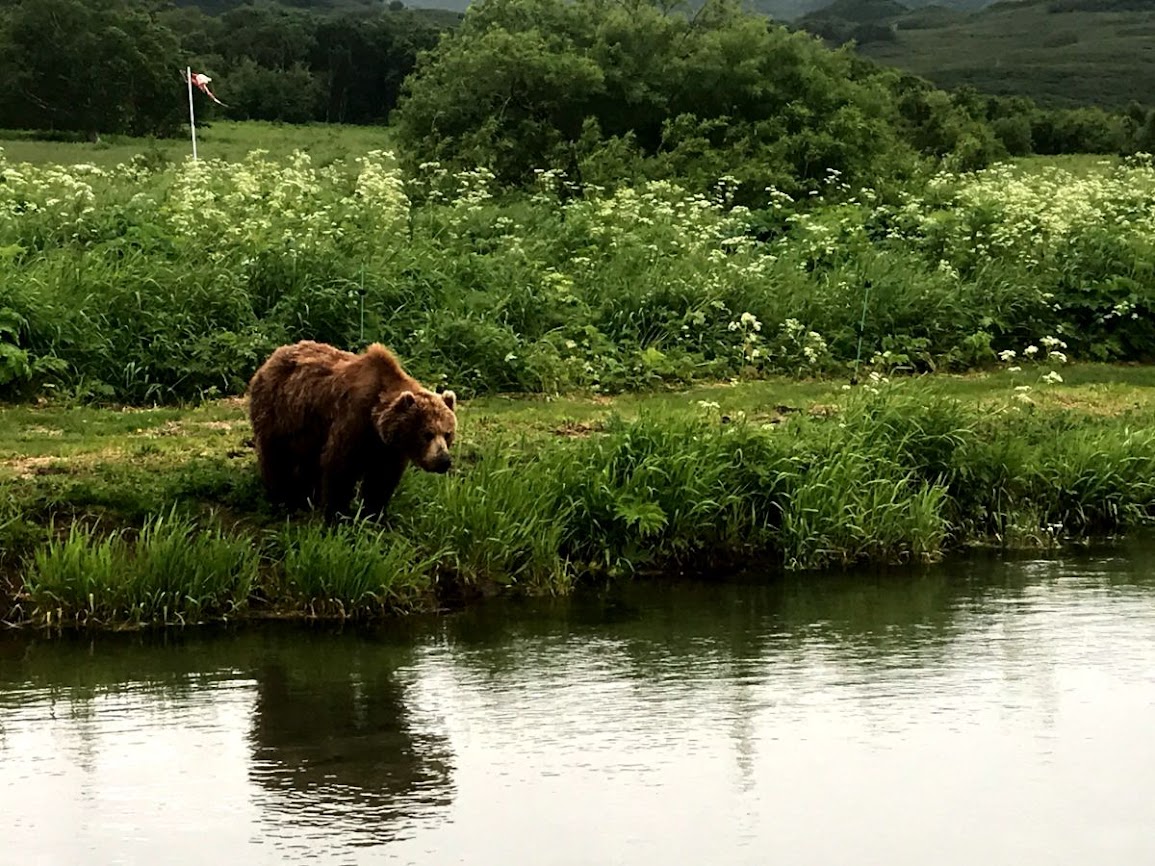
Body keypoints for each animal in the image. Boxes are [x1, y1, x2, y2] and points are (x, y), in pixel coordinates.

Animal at [247, 341, 455, 519]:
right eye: (427, 434)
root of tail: (272, 356)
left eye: (447, 434)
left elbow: (381, 480)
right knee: (276, 458)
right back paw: (282, 498)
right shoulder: (353, 421)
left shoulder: (388, 449)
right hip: (279, 414)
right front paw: (337, 515)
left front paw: (373, 515)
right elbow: (339, 468)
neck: (376, 421)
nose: (443, 460)